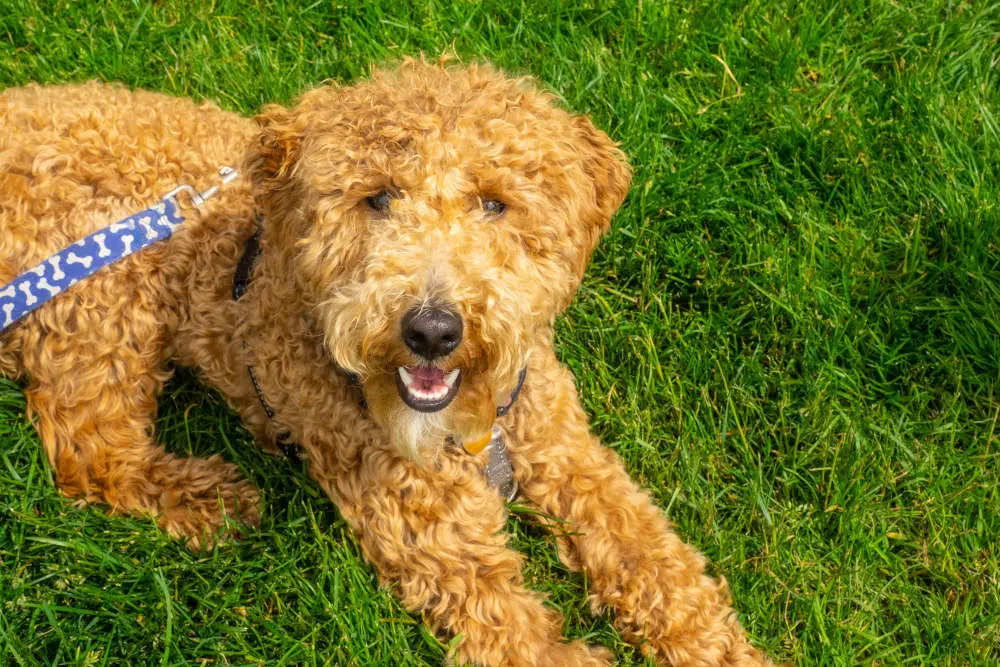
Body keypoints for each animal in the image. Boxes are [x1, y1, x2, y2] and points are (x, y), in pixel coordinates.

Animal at [0, 60, 772, 664]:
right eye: (376, 197)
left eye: (495, 203)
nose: (431, 330)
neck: (475, 429)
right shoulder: (430, 531)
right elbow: (517, 633)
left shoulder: (567, 451)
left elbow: (660, 562)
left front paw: (724, 649)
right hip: (107, 309)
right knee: (88, 451)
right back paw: (206, 497)